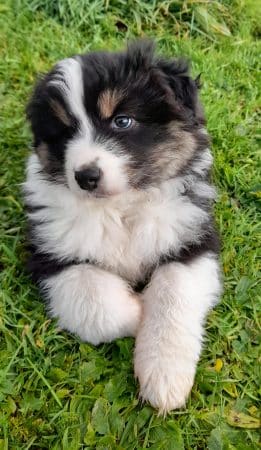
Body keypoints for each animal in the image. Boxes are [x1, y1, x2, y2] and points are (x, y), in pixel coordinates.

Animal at [23, 40, 220, 414]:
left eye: (122, 120)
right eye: (65, 131)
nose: (85, 177)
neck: (119, 206)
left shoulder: (192, 238)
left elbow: (172, 294)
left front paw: (165, 378)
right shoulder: (52, 256)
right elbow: (98, 303)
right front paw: (138, 311)